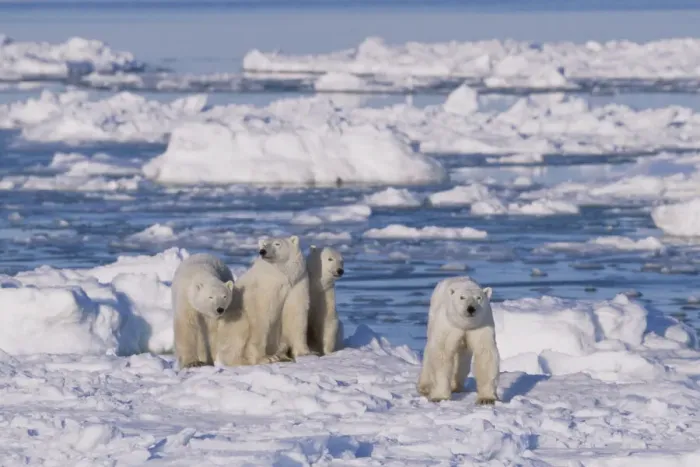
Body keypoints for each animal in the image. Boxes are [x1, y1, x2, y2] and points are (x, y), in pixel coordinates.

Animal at [216, 235, 309, 366]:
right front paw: (264, 358)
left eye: (277, 244)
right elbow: (260, 316)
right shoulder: (263, 288)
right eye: (264, 244)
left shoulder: (297, 282)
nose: (262, 251)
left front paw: (304, 353)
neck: (281, 275)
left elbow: (296, 312)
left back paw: (283, 356)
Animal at [417, 276, 500, 404]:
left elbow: (485, 353)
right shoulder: (448, 325)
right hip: (433, 316)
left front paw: (486, 399)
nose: (471, 309)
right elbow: (442, 352)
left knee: (461, 359)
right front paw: (439, 396)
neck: (465, 324)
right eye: (462, 297)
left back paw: (456, 386)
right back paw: (424, 386)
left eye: (479, 298)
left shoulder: (481, 325)